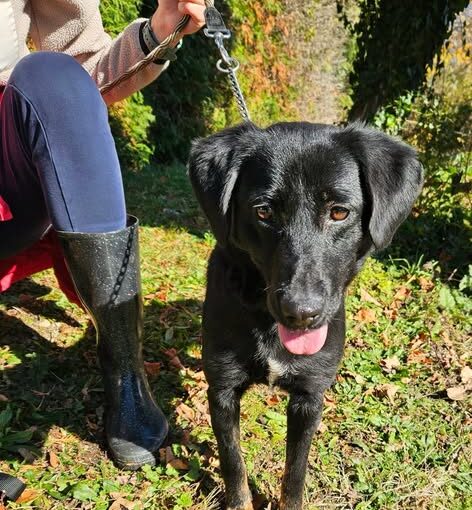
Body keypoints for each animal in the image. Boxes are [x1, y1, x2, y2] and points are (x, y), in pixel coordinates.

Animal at [188, 122, 423, 510]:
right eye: (264, 212)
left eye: (339, 212)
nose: (300, 313)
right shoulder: (222, 390)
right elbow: (233, 462)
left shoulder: (309, 398)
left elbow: (295, 471)